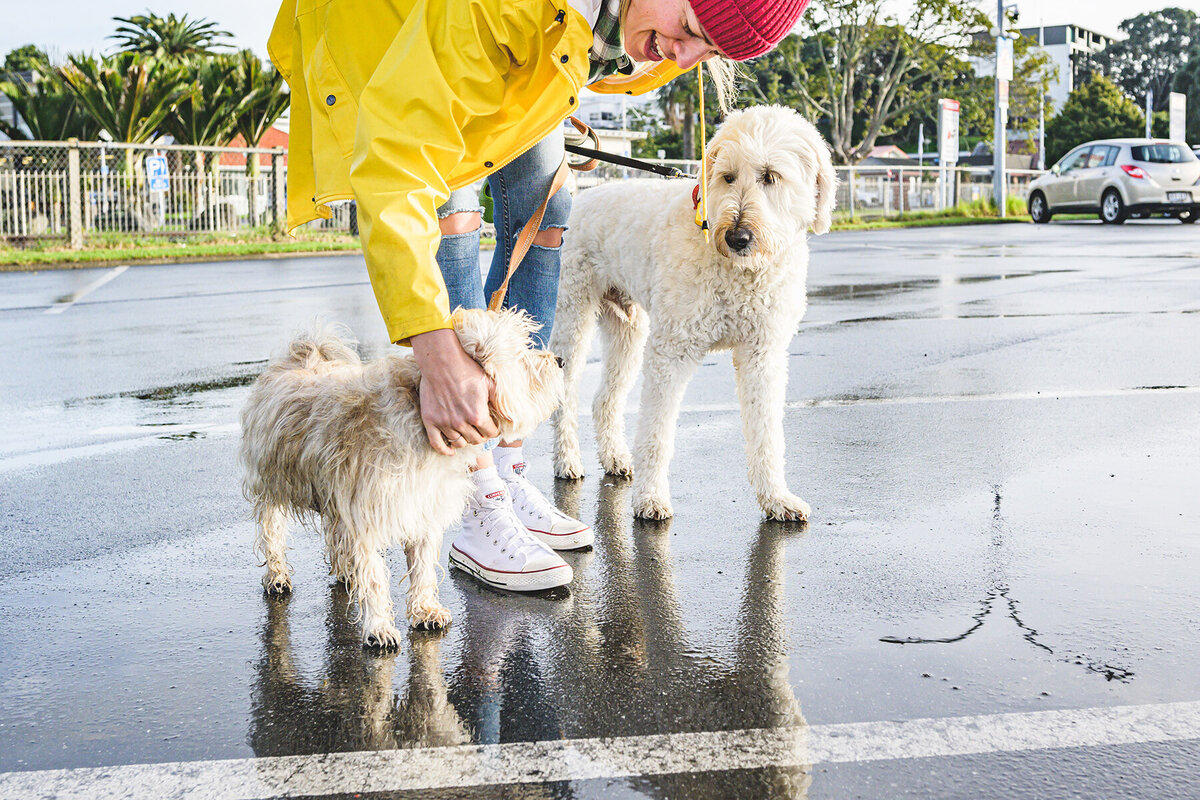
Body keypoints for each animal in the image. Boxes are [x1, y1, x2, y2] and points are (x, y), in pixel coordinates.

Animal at [243, 309, 566, 647]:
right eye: (520, 356)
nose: (559, 360)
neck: (421, 412)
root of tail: (301, 358)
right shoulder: (366, 515)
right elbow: (374, 576)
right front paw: (378, 626)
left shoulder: (422, 507)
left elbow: (422, 567)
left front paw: (425, 610)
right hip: (272, 482)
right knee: (272, 530)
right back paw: (277, 576)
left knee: (335, 532)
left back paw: (345, 570)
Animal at [549, 103, 835, 522]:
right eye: (727, 177)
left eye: (770, 176)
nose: (736, 237)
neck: (738, 271)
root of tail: (578, 200)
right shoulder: (672, 351)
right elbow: (657, 431)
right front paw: (650, 498)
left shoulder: (763, 354)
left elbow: (767, 433)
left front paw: (776, 498)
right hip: (572, 317)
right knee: (564, 396)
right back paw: (567, 461)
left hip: (627, 330)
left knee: (604, 399)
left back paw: (615, 458)